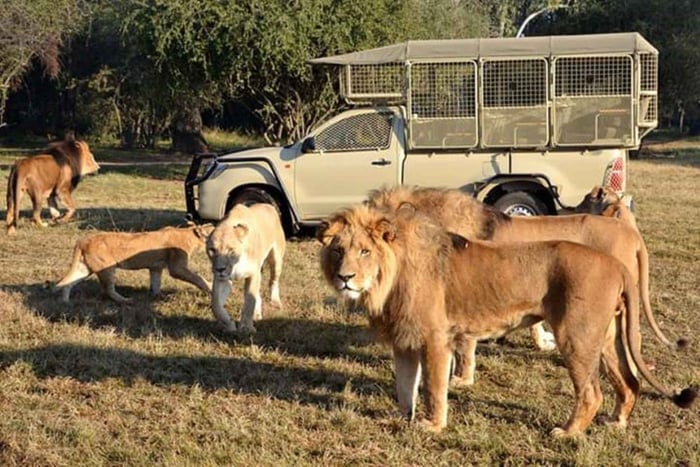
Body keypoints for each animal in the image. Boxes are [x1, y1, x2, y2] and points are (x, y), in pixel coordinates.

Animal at [54, 223, 214, 303]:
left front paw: (157, 297)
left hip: (84, 268)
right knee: (108, 289)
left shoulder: (156, 268)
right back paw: (125, 300)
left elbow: (156, 283)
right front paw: (210, 287)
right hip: (107, 268)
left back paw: (65, 302)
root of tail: (82, 240)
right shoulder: (177, 268)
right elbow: (198, 278)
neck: (190, 234)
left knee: (67, 283)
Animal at [206, 203, 286, 333]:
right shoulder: (221, 279)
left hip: (276, 260)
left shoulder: (253, 274)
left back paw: (275, 301)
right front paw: (229, 325)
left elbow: (249, 301)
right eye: (212, 250)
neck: (235, 263)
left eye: (230, 250)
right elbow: (216, 305)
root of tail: (268, 205)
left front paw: (246, 327)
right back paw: (257, 314)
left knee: (273, 281)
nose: (220, 269)